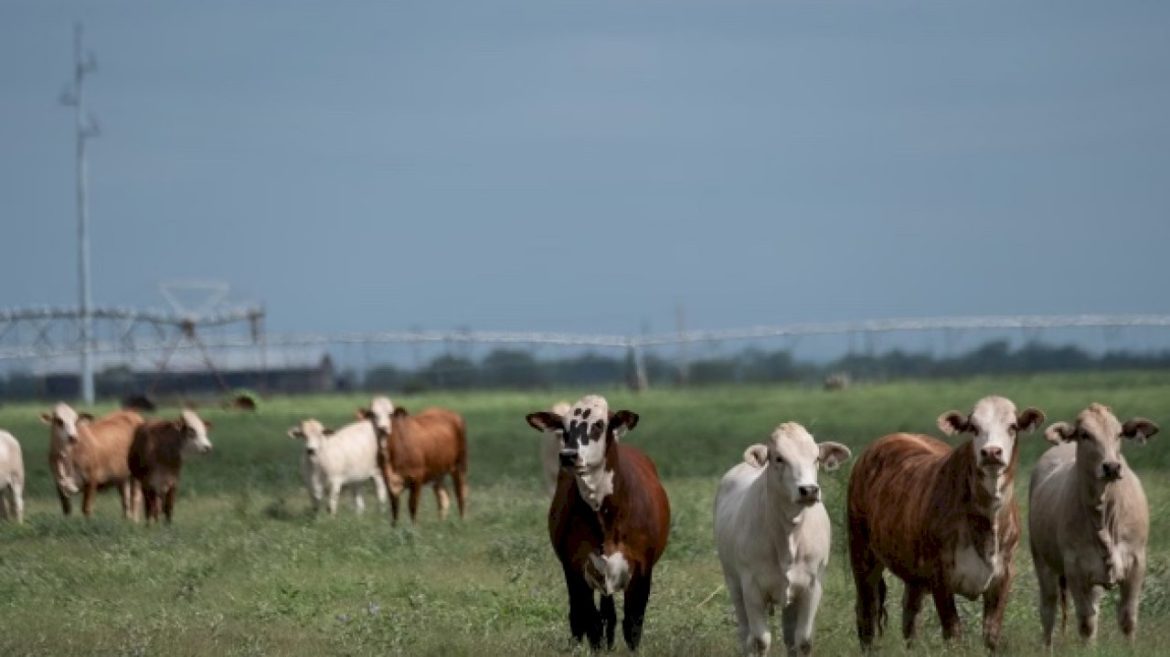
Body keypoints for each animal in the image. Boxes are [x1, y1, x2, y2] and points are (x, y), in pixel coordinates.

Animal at [362, 396, 469, 525]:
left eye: (390, 414)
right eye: (373, 414)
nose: (383, 428)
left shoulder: (417, 478)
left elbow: (412, 505)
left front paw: (413, 527)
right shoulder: (388, 480)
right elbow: (395, 508)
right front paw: (394, 527)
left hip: (460, 465)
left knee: (461, 493)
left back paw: (463, 521)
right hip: (437, 471)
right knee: (443, 497)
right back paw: (441, 523)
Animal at [526, 395, 671, 651]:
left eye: (599, 425)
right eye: (564, 428)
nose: (568, 455)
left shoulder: (642, 569)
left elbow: (633, 624)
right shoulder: (576, 567)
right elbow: (592, 623)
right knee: (583, 616)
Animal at [714, 423, 852, 657]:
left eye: (816, 457)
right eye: (779, 458)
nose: (809, 490)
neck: (788, 537)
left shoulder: (812, 585)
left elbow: (803, 640)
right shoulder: (751, 586)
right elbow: (760, 640)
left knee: (789, 637)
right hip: (733, 581)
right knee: (745, 634)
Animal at [847, 395, 1045, 651]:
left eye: (1012, 426)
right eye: (973, 427)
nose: (991, 452)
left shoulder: (1003, 575)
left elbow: (991, 635)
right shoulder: (940, 576)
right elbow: (953, 633)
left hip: (913, 573)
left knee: (910, 614)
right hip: (861, 552)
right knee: (867, 611)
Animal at [1029, 403, 1159, 646]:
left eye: (1119, 434)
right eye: (1085, 434)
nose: (1112, 467)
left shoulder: (1136, 562)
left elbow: (1128, 619)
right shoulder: (1075, 568)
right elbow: (1086, 623)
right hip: (1042, 561)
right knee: (1048, 611)